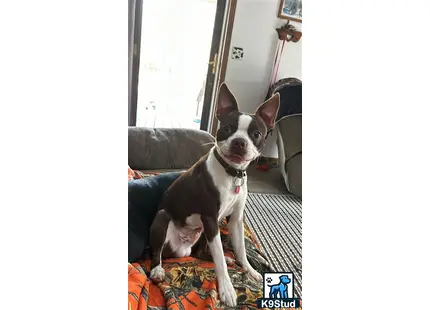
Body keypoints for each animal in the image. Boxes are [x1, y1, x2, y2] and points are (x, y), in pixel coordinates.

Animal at [149, 83, 280, 308]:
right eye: (227, 128)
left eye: (256, 134)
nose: (239, 142)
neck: (232, 173)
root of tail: (180, 250)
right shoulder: (210, 218)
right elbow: (219, 258)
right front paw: (227, 289)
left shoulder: (235, 220)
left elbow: (241, 249)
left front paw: (250, 270)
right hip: (164, 218)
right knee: (156, 252)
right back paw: (158, 269)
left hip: (203, 232)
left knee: (201, 253)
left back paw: (225, 258)